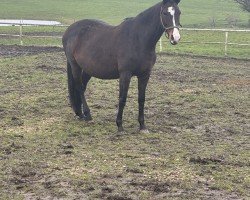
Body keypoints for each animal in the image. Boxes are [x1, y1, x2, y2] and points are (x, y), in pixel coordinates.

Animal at [61, 0, 181, 133]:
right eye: (165, 13)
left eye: (179, 13)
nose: (175, 38)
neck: (139, 39)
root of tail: (69, 30)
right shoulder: (125, 74)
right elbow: (122, 98)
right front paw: (120, 126)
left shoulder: (145, 75)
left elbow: (142, 99)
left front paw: (142, 126)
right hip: (75, 66)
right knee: (79, 87)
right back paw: (87, 114)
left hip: (88, 69)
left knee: (82, 86)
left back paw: (80, 113)